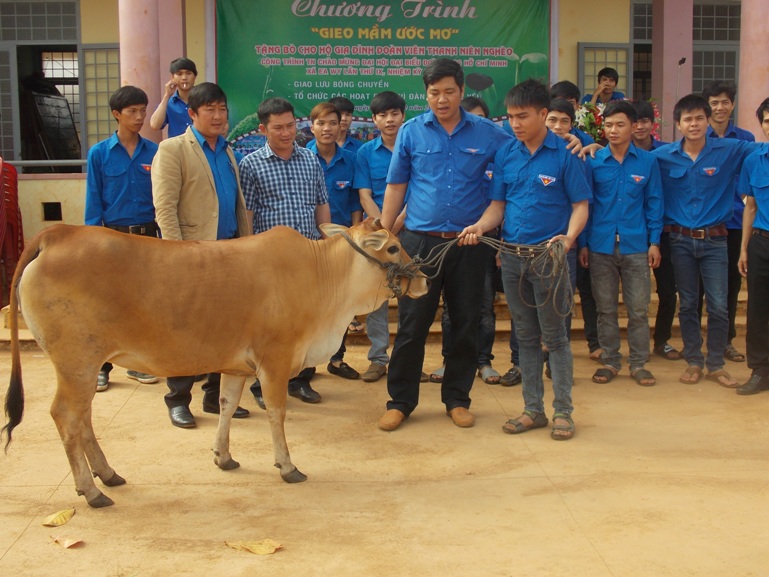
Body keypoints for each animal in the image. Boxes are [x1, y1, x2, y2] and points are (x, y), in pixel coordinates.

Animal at [0, 218, 426, 506]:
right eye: (391, 248)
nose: (423, 280)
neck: (321, 277)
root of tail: (58, 233)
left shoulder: (236, 367)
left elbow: (225, 405)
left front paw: (224, 456)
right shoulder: (275, 361)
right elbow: (276, 413)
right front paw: (287, 466)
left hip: (83, 367)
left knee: (83, 418)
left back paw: (108, 474)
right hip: (77, 363)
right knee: (66, 416)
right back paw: (90, 490)